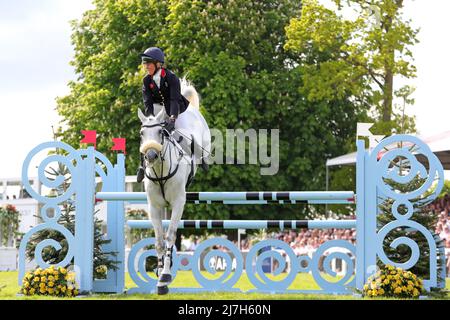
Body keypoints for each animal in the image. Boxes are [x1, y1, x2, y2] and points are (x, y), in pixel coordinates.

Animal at [137, 80, 211, 296]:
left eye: (160, 132)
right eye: (142, 133)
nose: (150, 156)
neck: (161, 171)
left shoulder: (178, 203)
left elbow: (170, 236)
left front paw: (165, 277)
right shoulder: (155, 207)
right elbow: (160, 241)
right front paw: (160, 274)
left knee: (203, 151)